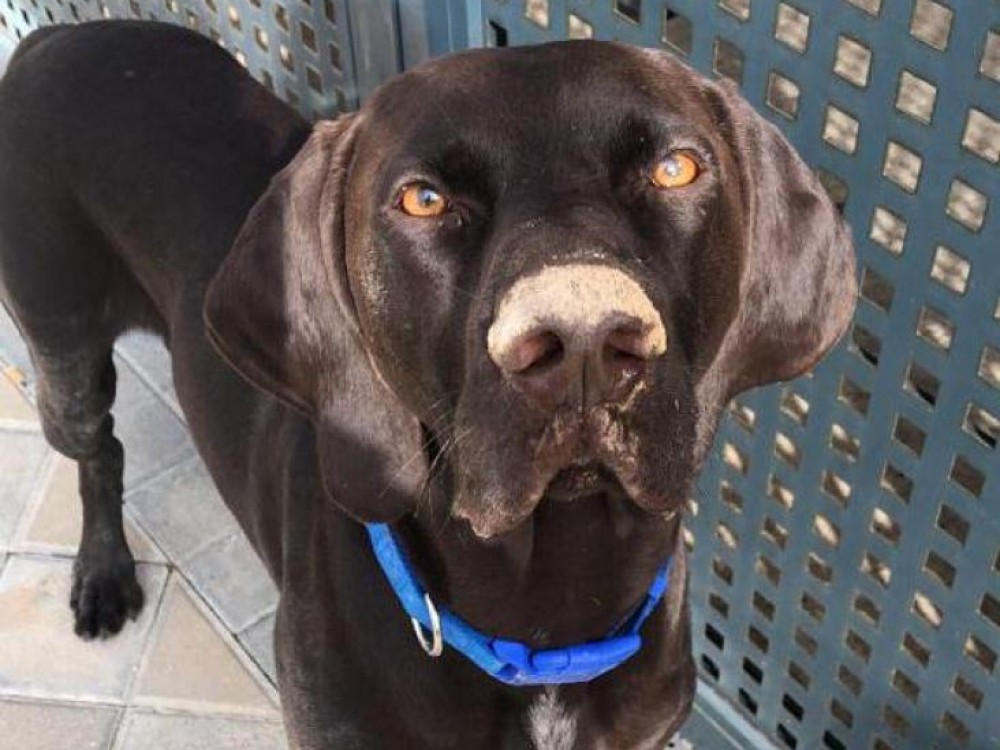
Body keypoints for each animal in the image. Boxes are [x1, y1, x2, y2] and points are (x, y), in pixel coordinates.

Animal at [0, 20, 856, 749]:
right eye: (424, 198)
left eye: (675, 168)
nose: (583, 341)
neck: (547, 621)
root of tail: (57, 36)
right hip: (63, 352)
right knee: (99, 452)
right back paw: (102, 573)